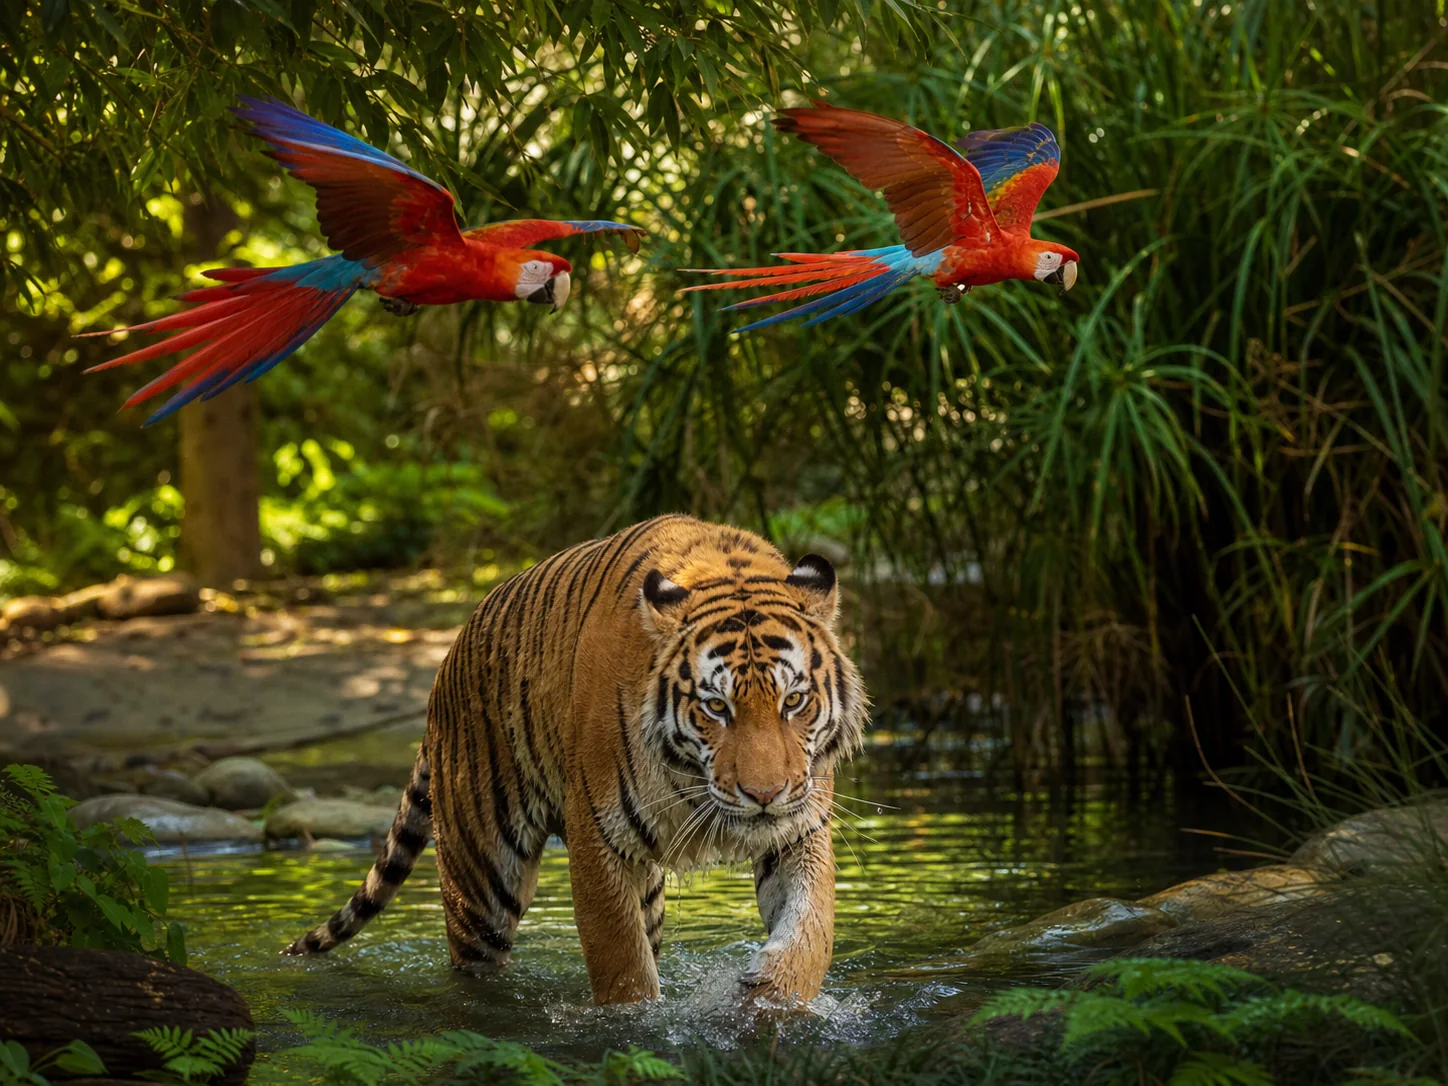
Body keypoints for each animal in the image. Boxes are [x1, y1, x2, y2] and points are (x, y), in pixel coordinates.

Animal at [284, 514, 868, 1005]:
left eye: (793, 700)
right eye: (716, 707)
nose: (763, 795)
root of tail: (444, 668)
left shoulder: (800, 825)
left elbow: (812, 923)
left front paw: (775, 995)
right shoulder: (597, 837)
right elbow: (620, 962)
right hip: (481, 879)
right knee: (475, 959)